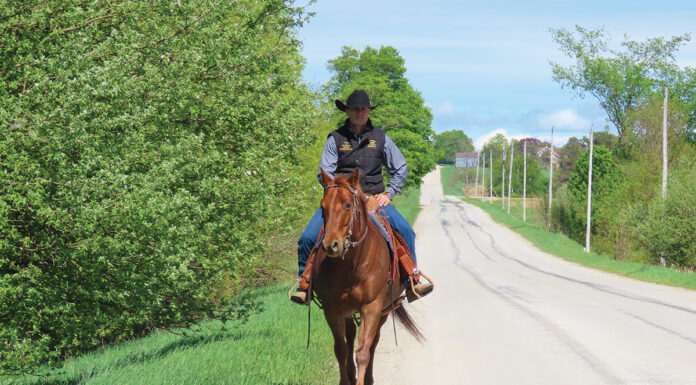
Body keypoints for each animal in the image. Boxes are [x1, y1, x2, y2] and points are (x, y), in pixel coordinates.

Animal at [312, 168, 422, 384]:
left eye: (347, 204)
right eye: (322, 206)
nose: (331, 245)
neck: (351, 266)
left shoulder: (371, 307)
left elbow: (363, 352)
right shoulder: (331, 309)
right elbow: (341, 349)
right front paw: (345, 379)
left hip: (384, 310)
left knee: (373, 343)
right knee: (350, 336)